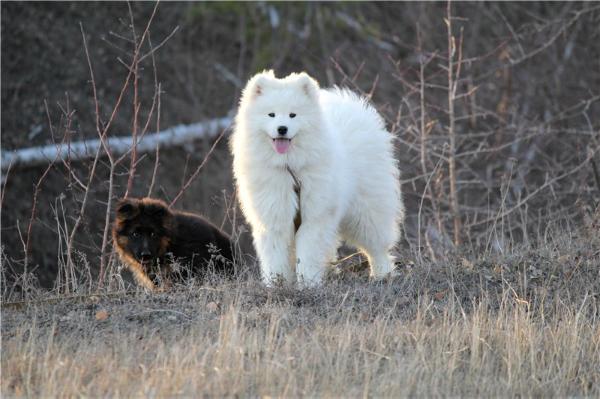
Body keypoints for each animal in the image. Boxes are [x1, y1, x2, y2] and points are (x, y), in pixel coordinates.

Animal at [230, 71, 404, 284]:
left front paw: (308, 283)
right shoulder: (275, 217)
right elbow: (276, 257)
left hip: (366, 210)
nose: (282, 128)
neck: (290, 168)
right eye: (271, 114)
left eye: (293, 115)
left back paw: (382, 274)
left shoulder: (314, 217)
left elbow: (308, 254)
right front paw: (277, 283)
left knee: (377, 246)